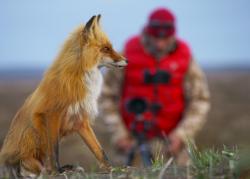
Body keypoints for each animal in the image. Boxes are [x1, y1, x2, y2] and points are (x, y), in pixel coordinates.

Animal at [0, 14, 127, 176]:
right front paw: (57, 171)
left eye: (110, 47)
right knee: (38, 169)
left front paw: (111, 168)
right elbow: (54, 151)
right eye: (106, 48)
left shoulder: (80, 119)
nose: (127, 60)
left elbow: (99, 150)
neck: (79, 77)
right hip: (28, 160)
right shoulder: (51, 115)